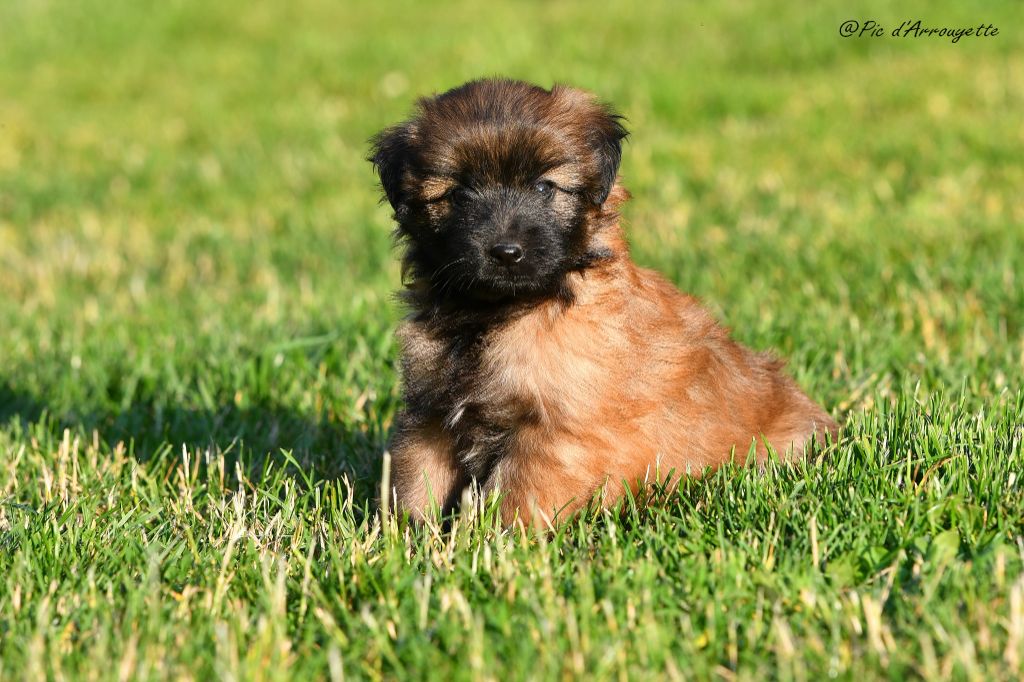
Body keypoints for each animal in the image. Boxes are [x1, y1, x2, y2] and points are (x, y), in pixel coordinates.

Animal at [372, 79, 835, 524]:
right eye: (458, 194)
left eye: (544, 187)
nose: (506, 252)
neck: (499, 313)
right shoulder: (430, 419)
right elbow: (414, 490)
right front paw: (407, 541)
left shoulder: (556, 433)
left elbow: (514, 502)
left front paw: (494, 543)